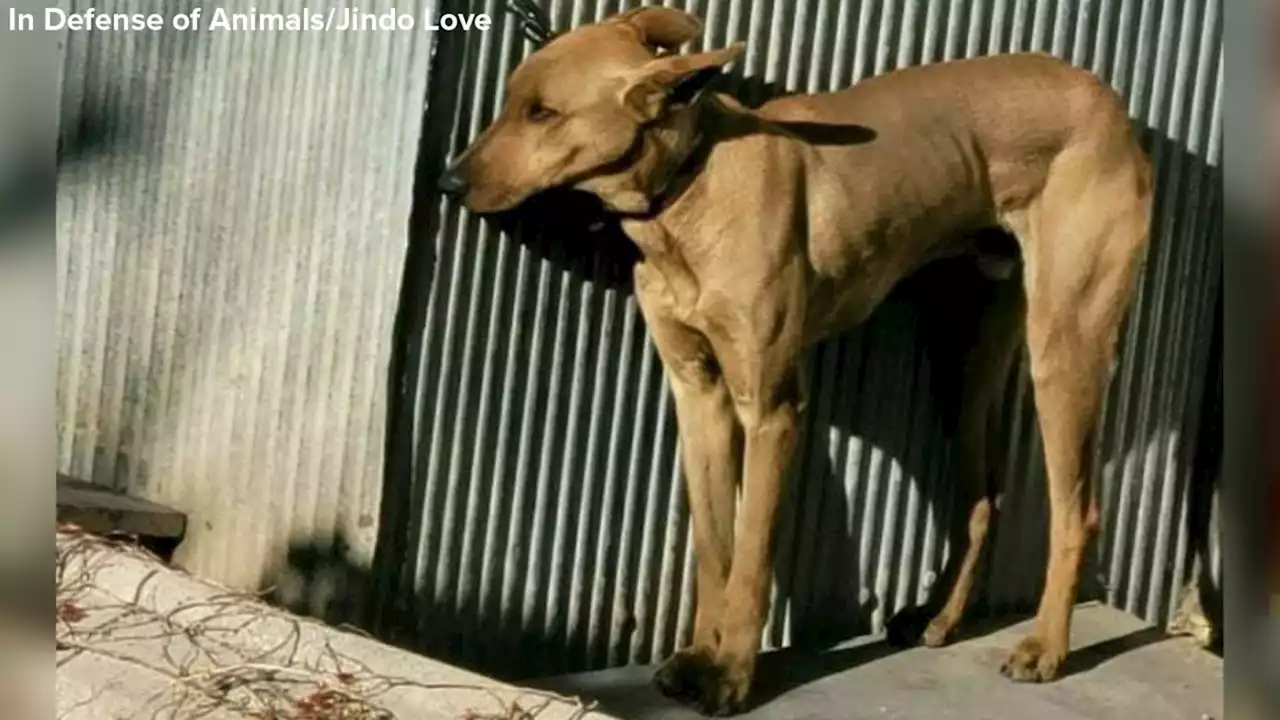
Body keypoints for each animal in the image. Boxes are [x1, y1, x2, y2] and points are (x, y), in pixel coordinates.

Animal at [437, 5, 1152, 712]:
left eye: (543, 113)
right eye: (513, 101)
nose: (447, 181)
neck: (691, 186)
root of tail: (1108, 99)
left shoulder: (773, 408)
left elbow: (752, 556)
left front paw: (730, 675)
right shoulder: (698, 394)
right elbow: (714, 548)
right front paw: (699, 656)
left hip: (1065, 343)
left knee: (1078, 509)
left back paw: (1046, 648)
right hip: (962, 361)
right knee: (982, 499)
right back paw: (940, 618)